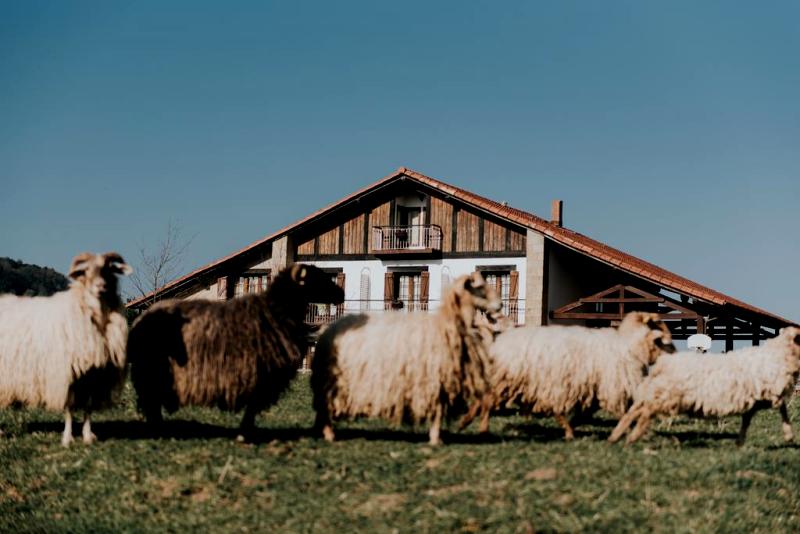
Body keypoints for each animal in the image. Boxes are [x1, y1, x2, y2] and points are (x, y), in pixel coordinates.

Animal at [0, 253, 133, 446]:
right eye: (85, 271)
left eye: (109, 269)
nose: (101, 286)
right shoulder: (66, 375)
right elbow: (69, 409)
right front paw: (67, 438)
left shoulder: (93, 376)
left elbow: (87, 408)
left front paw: (87, 436)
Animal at [310, 274, 500, 446]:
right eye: (479, 287)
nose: (500, 305)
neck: (447, 325)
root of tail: (328, 330)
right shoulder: (434, 380)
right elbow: (438, 411)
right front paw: (436, 440)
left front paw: (436, 437)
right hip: (334, 380)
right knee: (325, 406)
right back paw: (329, 435)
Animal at [456, 312, 676, 442]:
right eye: (659, 328)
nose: (673, 351)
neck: (630, 344)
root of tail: (498, 343)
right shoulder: (612, 385)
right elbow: (624, 413)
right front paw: (632, 432)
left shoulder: (595, 387)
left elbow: (587, 413)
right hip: (514, 379)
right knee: (487, 401)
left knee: (485, 400)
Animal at [608, 326, 800, 448]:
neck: (778, 353)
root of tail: (664, 363)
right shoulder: (771, 392)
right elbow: (782, 408)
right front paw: (789, 435)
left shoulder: (756, 399)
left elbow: (749, 419)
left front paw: (740, 441)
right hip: (667, 395)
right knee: (645, 412)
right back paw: (632, 437)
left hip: (655, 392)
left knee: (634, 411)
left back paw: (616, 436)